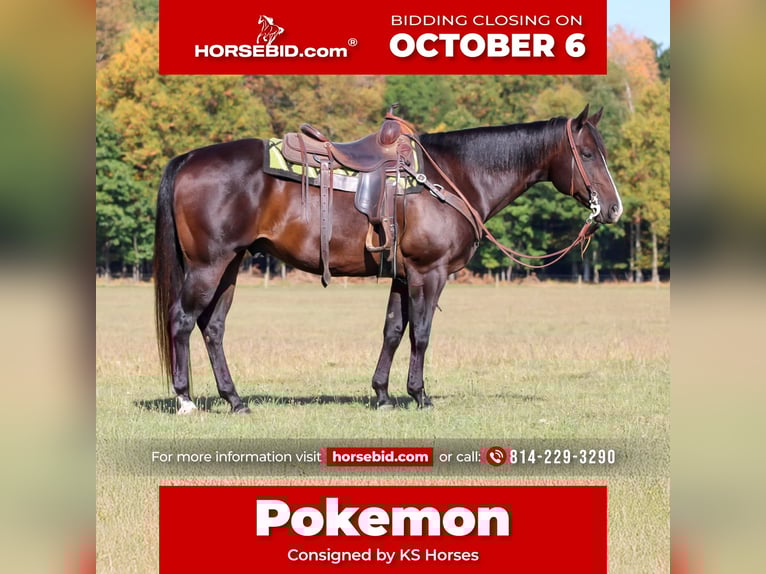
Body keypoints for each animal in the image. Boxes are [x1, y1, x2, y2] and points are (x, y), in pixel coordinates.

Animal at [153, 104, 623, 414]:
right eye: (587, 154)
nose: (614, 209)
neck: (453, 175)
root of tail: (189, 158)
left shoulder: (402, 274)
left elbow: (394, 331)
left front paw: (381, 394)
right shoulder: (429, 272)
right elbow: (422, 335)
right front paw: (419, 395)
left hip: (230, 265)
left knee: (213, 328)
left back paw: (235, 400)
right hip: (209, 265)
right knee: (182, 321)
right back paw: (185, 399)